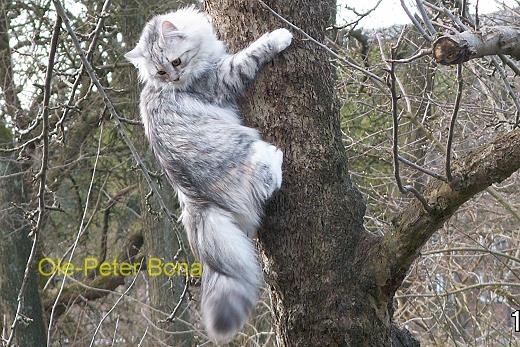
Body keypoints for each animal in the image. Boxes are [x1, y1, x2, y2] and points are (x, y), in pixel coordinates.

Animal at [124, 5, 290, 346]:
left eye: (174, 63)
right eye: (162, 73)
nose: (175, 79)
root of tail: (194, 201)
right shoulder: (222, 77)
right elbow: (250, 55)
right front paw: (280, 36)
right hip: (243, 144)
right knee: (267, 182)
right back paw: (275, 156)